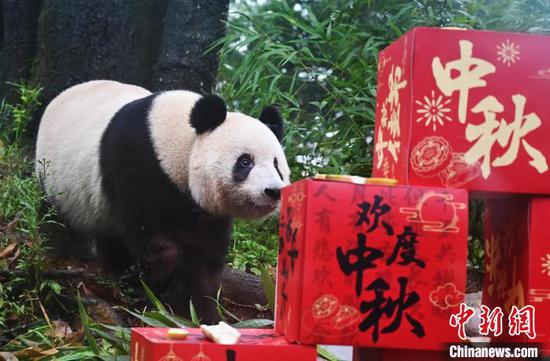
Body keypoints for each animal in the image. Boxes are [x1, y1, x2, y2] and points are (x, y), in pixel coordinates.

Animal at [36, 79, 292, 320]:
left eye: (277, 165)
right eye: (245, 162)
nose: (272, 191)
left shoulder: (204, 210)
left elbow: (205, 253)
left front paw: (201, 308)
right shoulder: (140, 165)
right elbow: (162, 245)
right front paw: (173, 301)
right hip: (54, 177)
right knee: (55, 219)